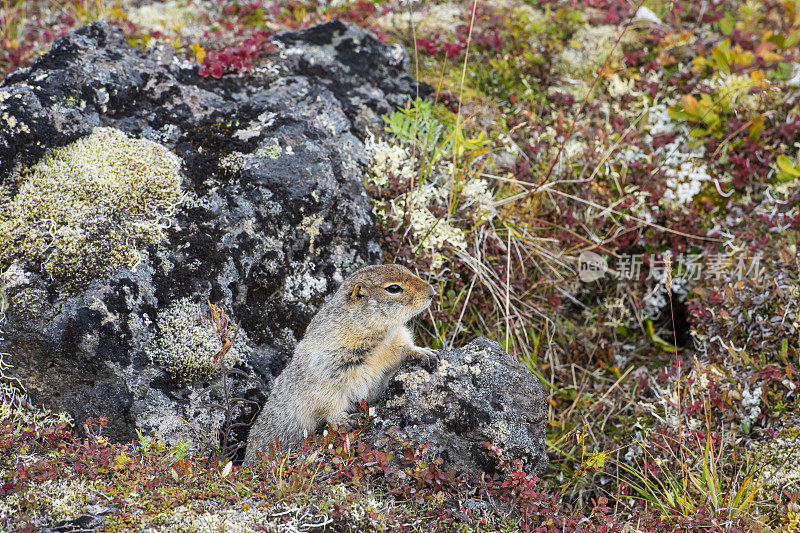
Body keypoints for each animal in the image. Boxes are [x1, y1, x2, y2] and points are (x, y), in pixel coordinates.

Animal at [247, 264, 440, 464]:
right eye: (393, 288)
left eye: (407, 269)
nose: (432, 292)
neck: (380, 340)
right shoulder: (327, 368)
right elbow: (325, 401)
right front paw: (344, 420)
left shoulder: (393, 344)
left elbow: (400, 353)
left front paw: (423, 352)